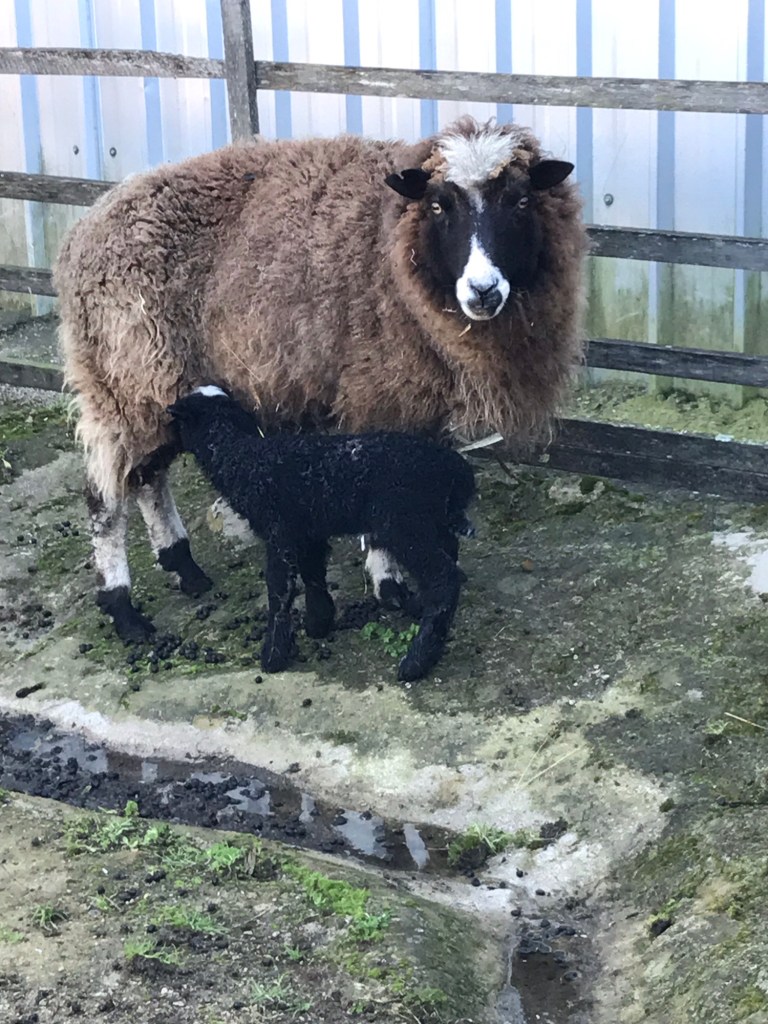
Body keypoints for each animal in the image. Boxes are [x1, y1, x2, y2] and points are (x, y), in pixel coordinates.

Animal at [54, 116, 587, 642]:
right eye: (438, 204)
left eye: (520, 201)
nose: (483, 291)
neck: (389, 241)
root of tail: (82, 232)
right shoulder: (381, 395)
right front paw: (390, 587)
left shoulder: (420, 399)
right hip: (126, 376)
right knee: (104, 498)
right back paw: (123, 608)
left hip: (153, 385)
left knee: (148, 477)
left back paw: (184, 567)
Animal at [166, 385, 476, 682]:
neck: (241, 458)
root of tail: (456, 469)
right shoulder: (307, 532)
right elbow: (312, 573)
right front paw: (318, 623)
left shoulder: (280, 532)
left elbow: (279, 589)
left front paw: (273, 655)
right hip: (432, 522)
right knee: (451, 555)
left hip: (405, 525)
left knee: (443, 579)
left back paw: (417, 661)